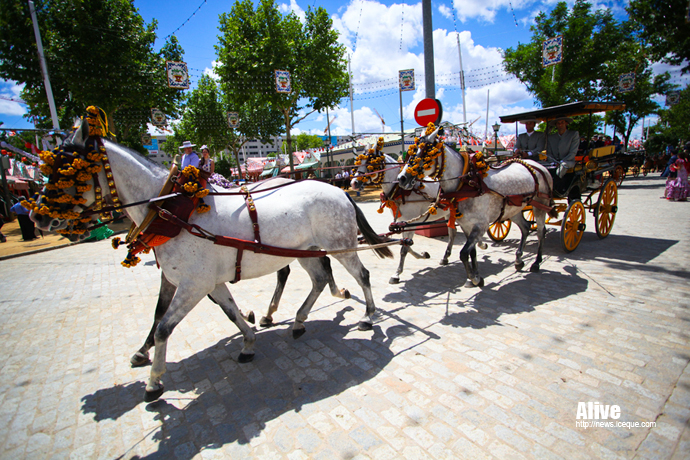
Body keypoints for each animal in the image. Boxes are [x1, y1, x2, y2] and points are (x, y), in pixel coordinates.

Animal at [32, 118, 390, 402]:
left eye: (67, 170)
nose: (38, 217)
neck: (174, 212)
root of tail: (339, 190)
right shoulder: (203, 282)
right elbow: (222, 312)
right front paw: (247, 342)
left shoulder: (194, 284)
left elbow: (164, 327)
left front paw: (154, 382)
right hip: (308, 250)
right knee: (318, 279)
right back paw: (299, 320)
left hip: (340, 245)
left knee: (362, 275)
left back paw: (367, 316)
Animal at [350, 147, 456, 284]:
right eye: (358, 162)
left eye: (370, 163)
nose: (353, 183)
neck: (400, 190)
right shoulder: (402, 223)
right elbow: (406, 244)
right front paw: (422, 255)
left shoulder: (410, 223)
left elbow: (404, 249)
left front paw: (396, 274)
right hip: (449, 213)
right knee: (452, 233)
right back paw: (445, 257)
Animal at [392, 124, 552, 286]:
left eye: (425, 153)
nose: (401, 178)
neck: (466, 183)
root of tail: (537, 166)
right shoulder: (466, 224)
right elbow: (472, 251)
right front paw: (476, 275)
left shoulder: (481, 225)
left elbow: (464, 253)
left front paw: (474, 278)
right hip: (513, 209)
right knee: (525, 227)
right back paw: (519, 259)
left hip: (540, 205)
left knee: (540, 231)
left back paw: (536, 262)